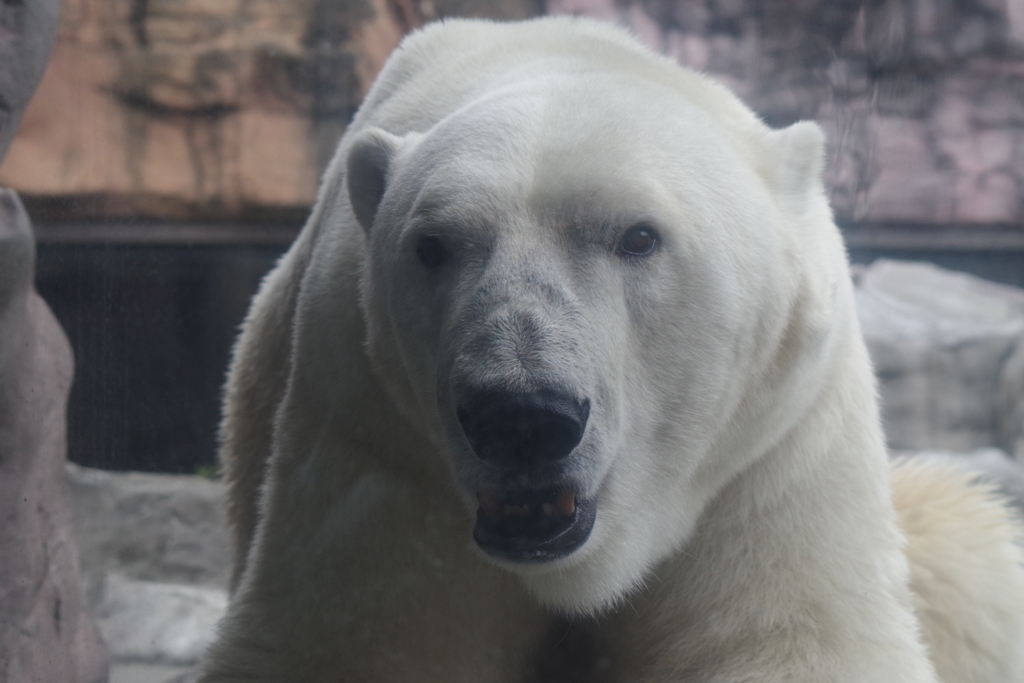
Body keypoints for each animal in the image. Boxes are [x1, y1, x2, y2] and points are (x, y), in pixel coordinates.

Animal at [197, 15, 1024, 683]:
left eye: (639, 236)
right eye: (434, 245)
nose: (522, 415)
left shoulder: (773, 440)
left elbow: (790, 638)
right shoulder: (376, 429)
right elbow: (356, 642)